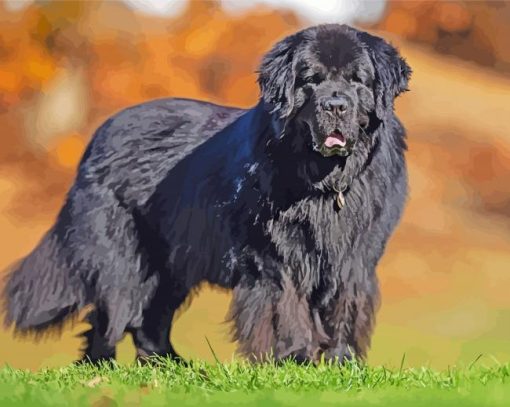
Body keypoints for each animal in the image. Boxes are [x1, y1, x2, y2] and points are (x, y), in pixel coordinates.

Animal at [1, 23, 410, 364]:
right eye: (311, 80)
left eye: (358, 80)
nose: (335, 105)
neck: (324, 182)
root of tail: (100, 133)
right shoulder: (275, 255)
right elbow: (287, 306)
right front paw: (296, 359)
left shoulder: (355, 256)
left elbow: (346, 306)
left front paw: (343, 362)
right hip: (122, 259)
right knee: (112, 315)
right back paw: (101, 370)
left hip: (170, 264)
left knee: (151, 318)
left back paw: (169, 367)